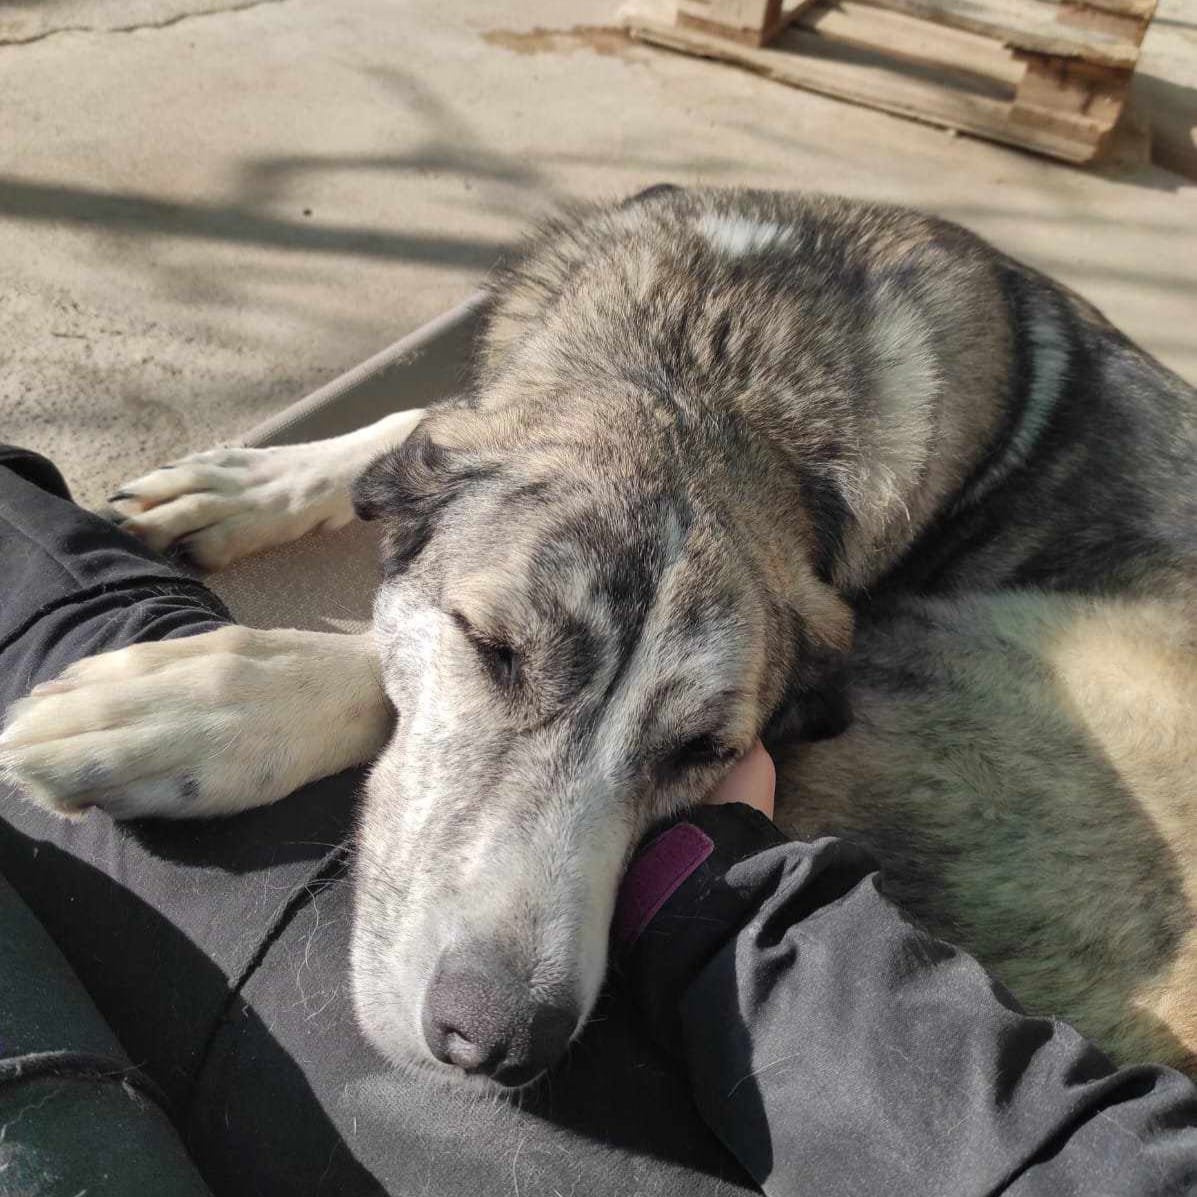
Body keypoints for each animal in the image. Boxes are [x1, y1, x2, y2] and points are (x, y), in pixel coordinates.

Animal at [3, 186, 1195, 1086]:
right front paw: (245, 486)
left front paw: (200, 708)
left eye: (704, 752)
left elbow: (363, 661)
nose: (496, 1042)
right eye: (491, 646)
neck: (714, 360)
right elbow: (417, 426)